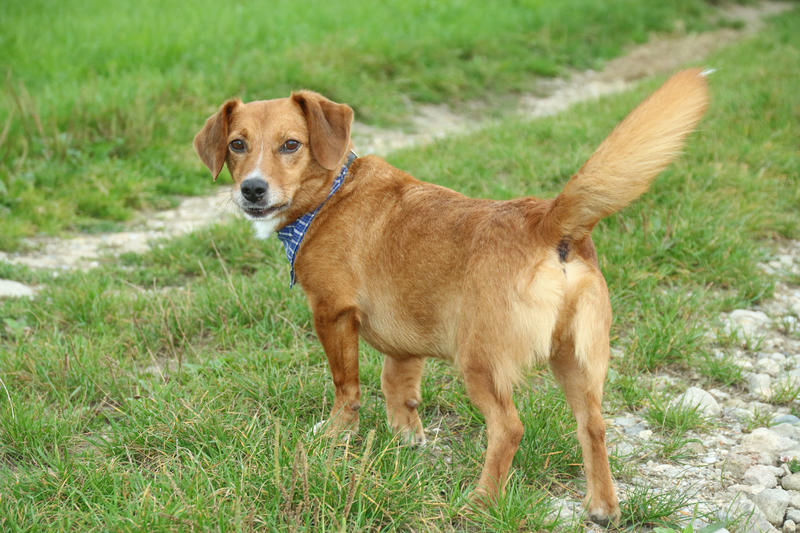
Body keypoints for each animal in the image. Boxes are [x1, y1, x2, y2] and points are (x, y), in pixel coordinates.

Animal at [194, 69, 709, 524]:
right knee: (594, 426)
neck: (330, 196)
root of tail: (548, 222)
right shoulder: (404, 343)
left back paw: (479, 503)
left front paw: (338, 434)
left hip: (480, 362)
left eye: (291, 145)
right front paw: (407, 440)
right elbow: (398, 389)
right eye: (237, 144)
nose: (252, 189)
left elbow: (348, 387)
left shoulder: (332, 314)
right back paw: (602, 506)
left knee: (508, 429)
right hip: (577, 360)